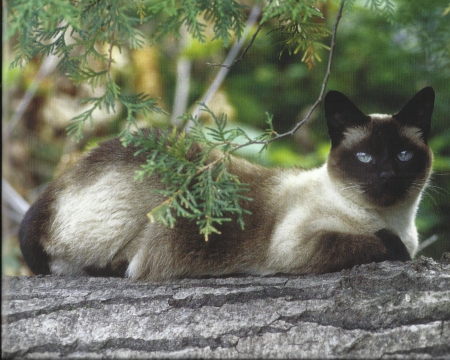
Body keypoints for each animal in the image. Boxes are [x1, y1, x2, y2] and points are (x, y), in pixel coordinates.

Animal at [19, 86, 434, 282]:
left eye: (402, 156)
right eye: (364, 158)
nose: (386, 177)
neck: (394, 219)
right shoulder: (295, 246)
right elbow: (383, 245)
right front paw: (395, 247)